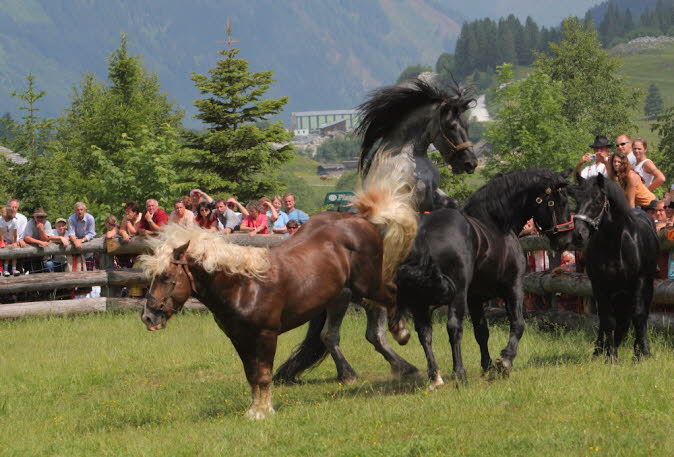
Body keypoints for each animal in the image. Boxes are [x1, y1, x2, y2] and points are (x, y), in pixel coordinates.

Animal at [139, 154, 418, 419]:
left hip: (366, 284)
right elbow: (252, 375)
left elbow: (263, 374)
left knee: (391, 294)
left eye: (166, 276)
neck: (243, 287)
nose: (148, 317)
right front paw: (254, 410)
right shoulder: (239, 339)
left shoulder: (266, 335)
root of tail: (360, 219)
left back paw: (402, 336)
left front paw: (264, 411)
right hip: (346, 293)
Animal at [357, 75, 479, 213]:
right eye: (450, 126)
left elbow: (453, 203)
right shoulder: (408, 197)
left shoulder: (434, 192)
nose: (471, 163)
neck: (413, 156)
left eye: (467, 125)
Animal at [394, 169, 574, 386]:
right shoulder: (513, 287)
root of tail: (424, 236)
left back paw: (435, 377)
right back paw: (459, 374)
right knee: (453, 328)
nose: (566, 240)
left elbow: (481, 332)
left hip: (419, 300)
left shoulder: (475, 298)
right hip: (457, 294)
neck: (494, 221)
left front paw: (487, 366)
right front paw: (505, 362)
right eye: (560, 202)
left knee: (424, 332)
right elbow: (518, 324)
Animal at [571, 174, 659, 361]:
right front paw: (610, 355)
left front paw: (641, 353)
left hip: (644, 287)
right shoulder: (600, 286)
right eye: (577, 200)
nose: (578, 235)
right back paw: (599, 349)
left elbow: (638, 315)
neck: (616, 245)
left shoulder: (640, 281)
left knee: (640, 315)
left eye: (597, 200)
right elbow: (607, 320)